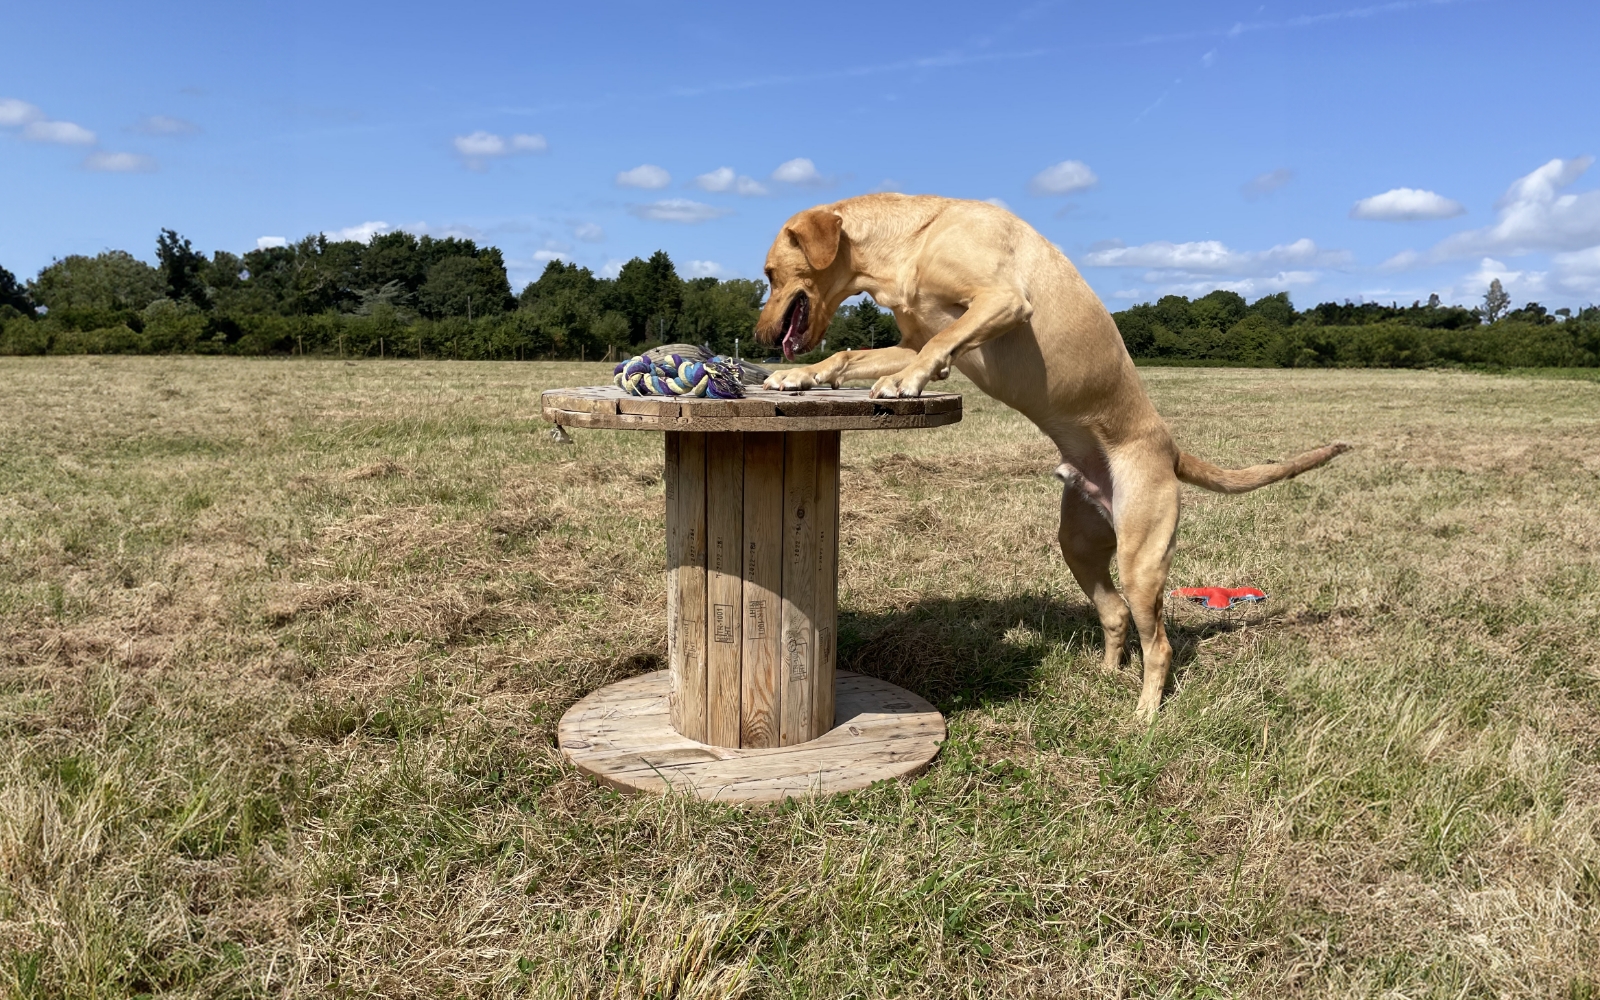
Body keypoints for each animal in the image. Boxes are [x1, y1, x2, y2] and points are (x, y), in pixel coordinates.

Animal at [755, 192, 1344, 716]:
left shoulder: (1001, 301)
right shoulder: (910, 337)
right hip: (1079, 545)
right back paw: (1107, 675)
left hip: (1142, 559)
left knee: (1159, 644)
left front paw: (904, 382)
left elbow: (937, 345)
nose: (760, 334)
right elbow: (851, 353)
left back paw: (1146, 713)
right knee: (1114, 614)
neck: (915, 238)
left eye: (769, 273)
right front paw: (799, 376)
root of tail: (1170, 448)